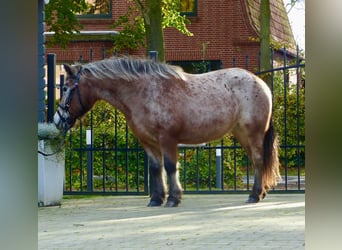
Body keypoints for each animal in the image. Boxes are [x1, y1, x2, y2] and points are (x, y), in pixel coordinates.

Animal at [53, 57, 280, 207]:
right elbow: (156, 168)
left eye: (65, 88)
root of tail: (261, 83)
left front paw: (173, 198)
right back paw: (261, 193)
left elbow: (170, 167)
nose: (57, 120)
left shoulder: (167, 139)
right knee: (256, 161)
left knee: (259, 160)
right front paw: (156, 198)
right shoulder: (148, 141)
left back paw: (254, 195)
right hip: (242, 134)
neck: (144, 91)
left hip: (253, 133)